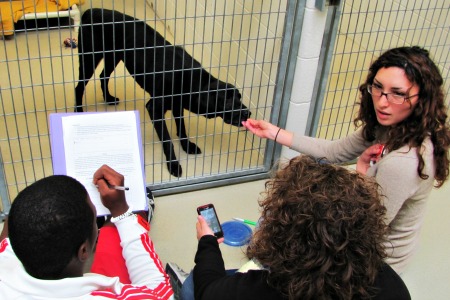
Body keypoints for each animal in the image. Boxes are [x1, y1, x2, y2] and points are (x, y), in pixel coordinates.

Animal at [74, 8, 250, 177]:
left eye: (240, 97)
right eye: (227, 101)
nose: (248, 113)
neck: (193, 80)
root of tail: (92, 11)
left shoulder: (178, 104)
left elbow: (182, 128)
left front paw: (187, 145)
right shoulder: (154, 108)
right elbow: (167, 140)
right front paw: (173, 164)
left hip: (114, 56)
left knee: (103, 76)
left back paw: (109, 98)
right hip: (89, 58)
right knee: (79, 87)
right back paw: (78, 110)